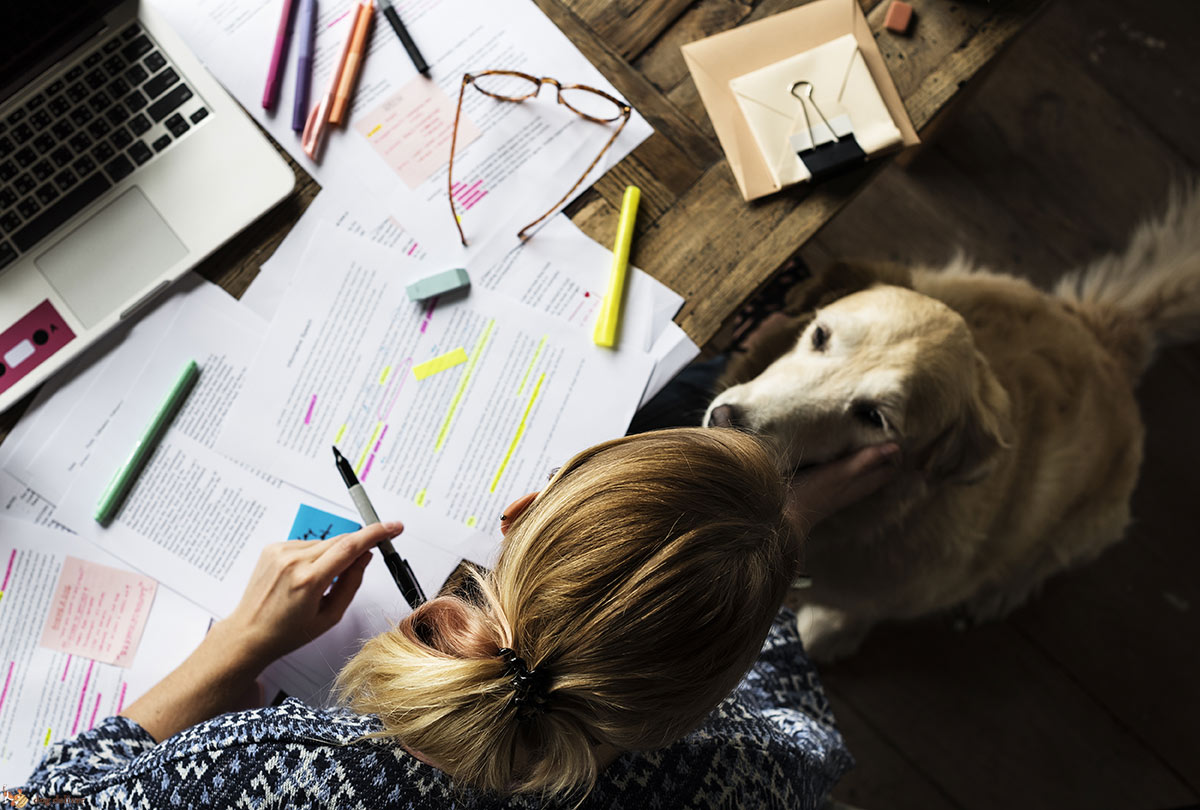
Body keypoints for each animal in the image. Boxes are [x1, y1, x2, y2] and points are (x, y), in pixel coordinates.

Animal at [700, 192, 1200, 667]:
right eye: (820, 335)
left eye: (874, 417)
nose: (723, 422)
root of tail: (1106, 341)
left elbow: (858, 609)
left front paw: (828, 631)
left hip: (1090, 523)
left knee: (1042, 558)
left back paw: (999, 593)